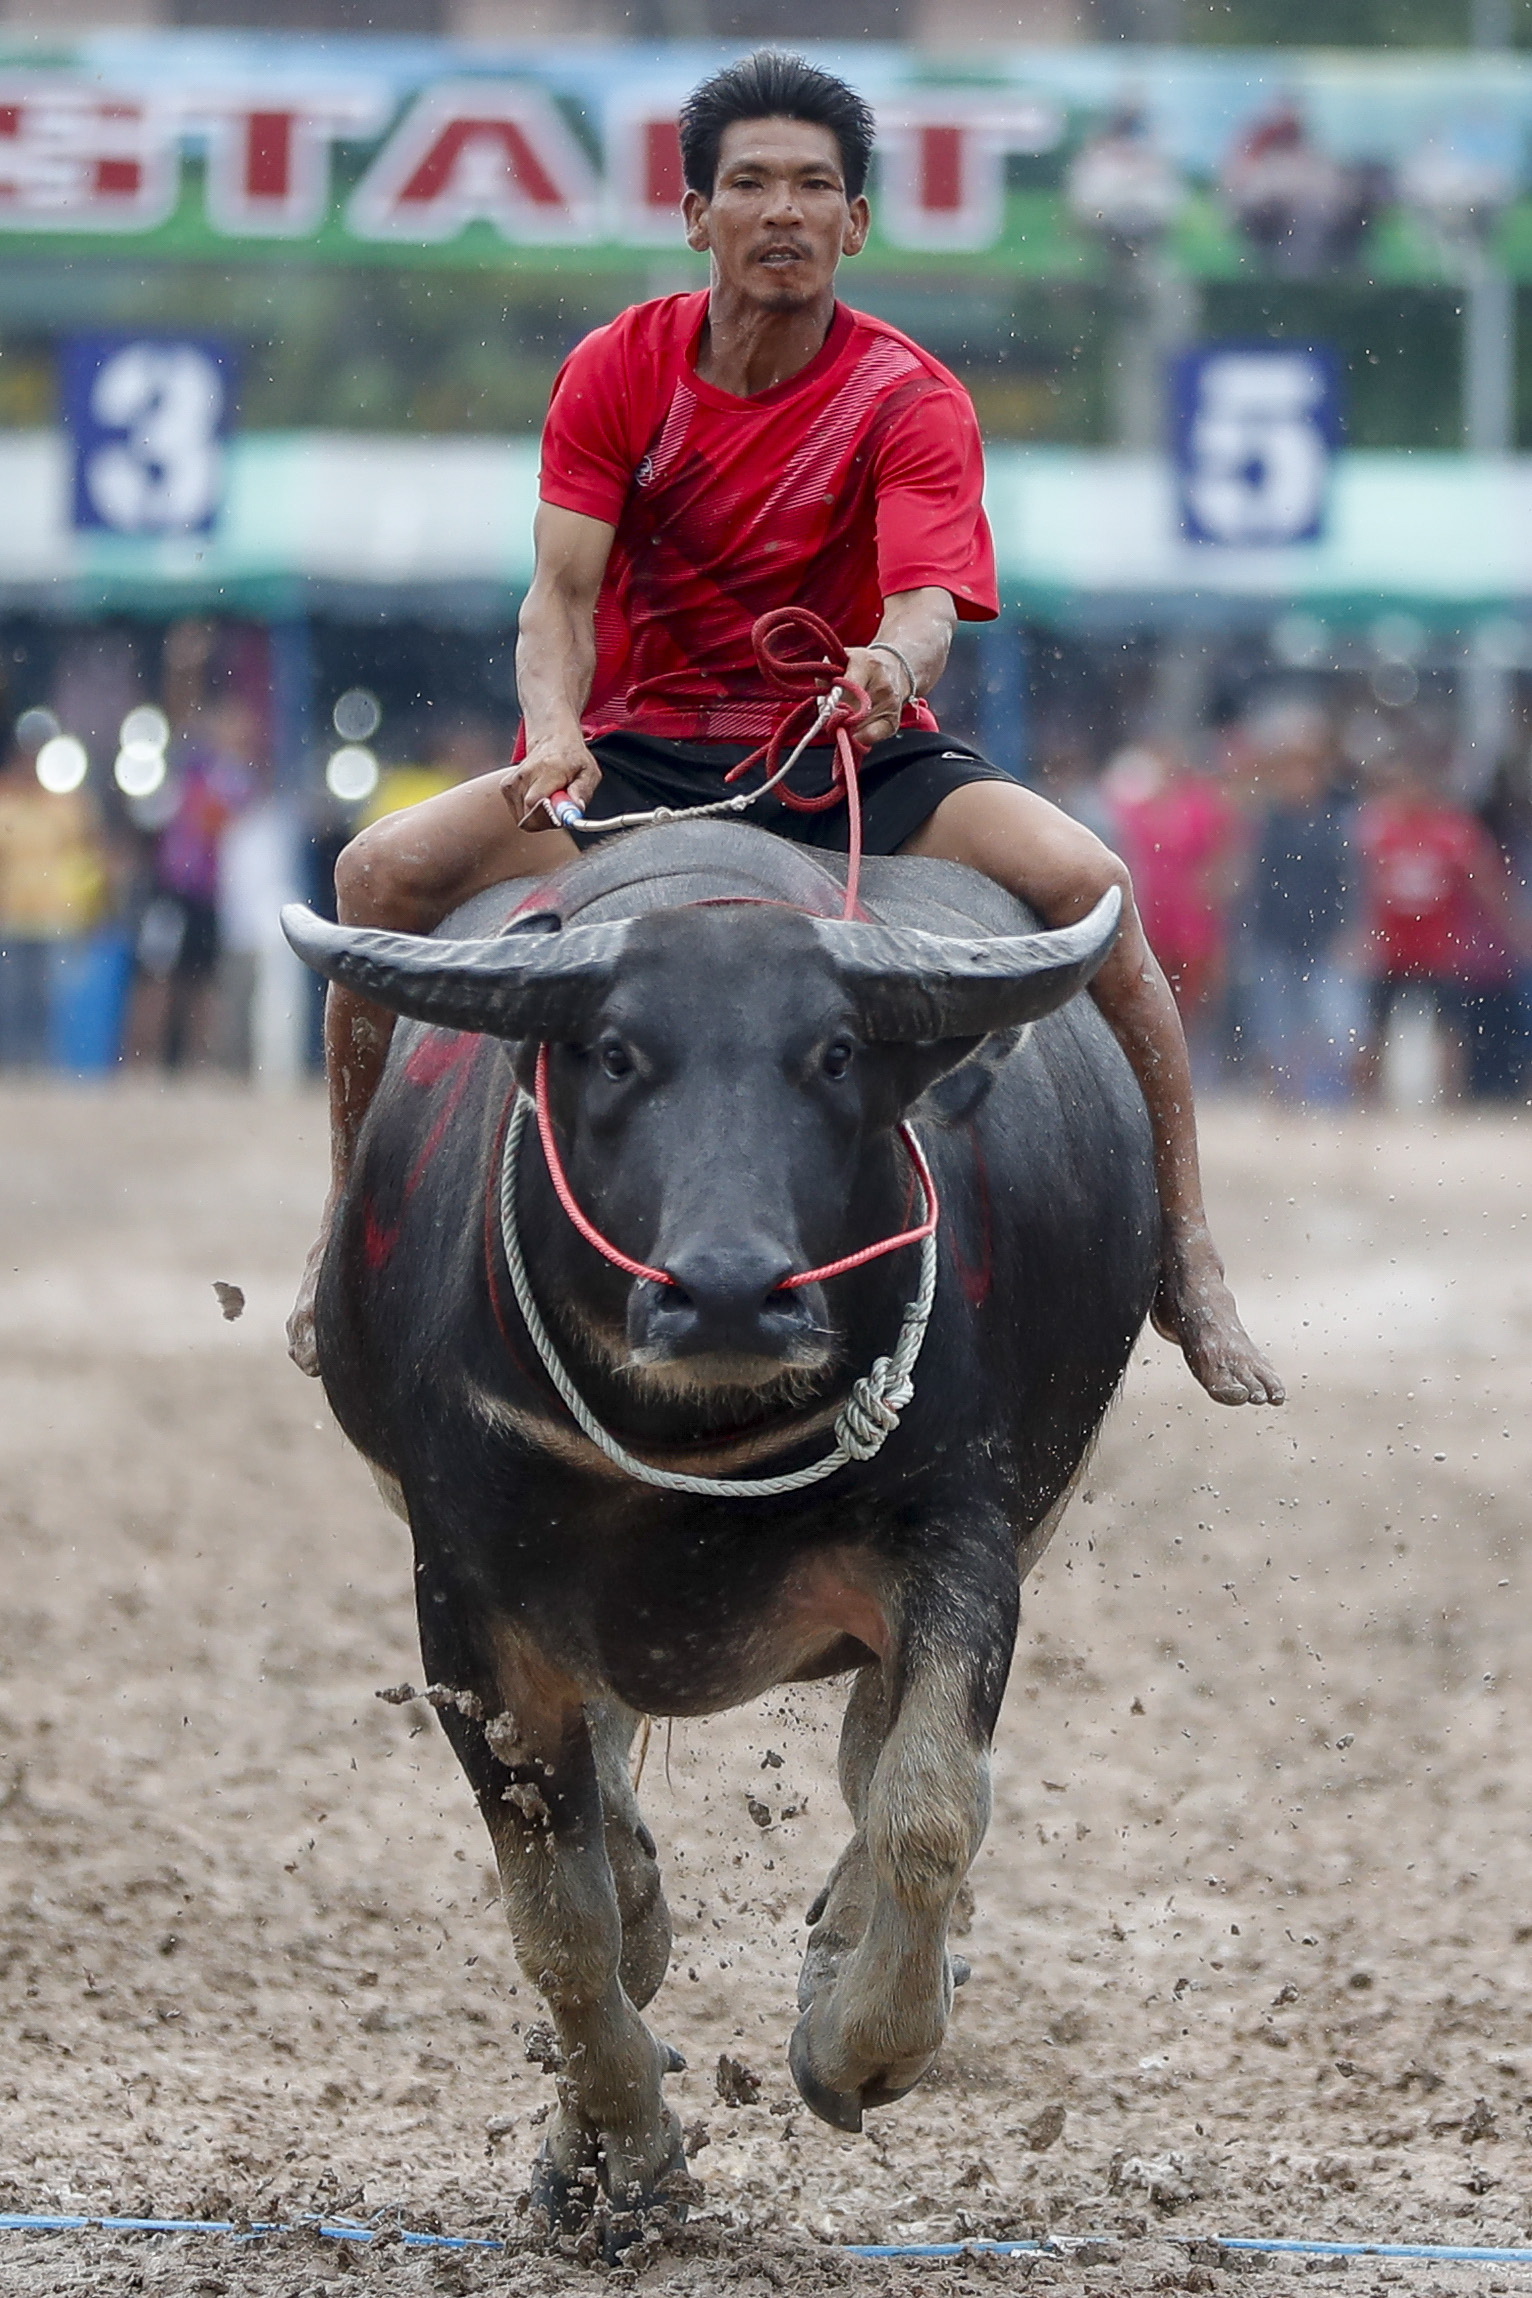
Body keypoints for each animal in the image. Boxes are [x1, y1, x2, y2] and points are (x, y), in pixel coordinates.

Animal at [284, 822, 1148, 2242]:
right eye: (615, 1052)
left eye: (834, 1052)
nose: (733, 1291)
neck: (693, 1443)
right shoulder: (465, 1610)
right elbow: (561, 1923)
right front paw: (627, 2159)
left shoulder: (959, 1543)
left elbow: (926, 1805)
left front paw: (861, 2044)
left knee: (878, 1767)